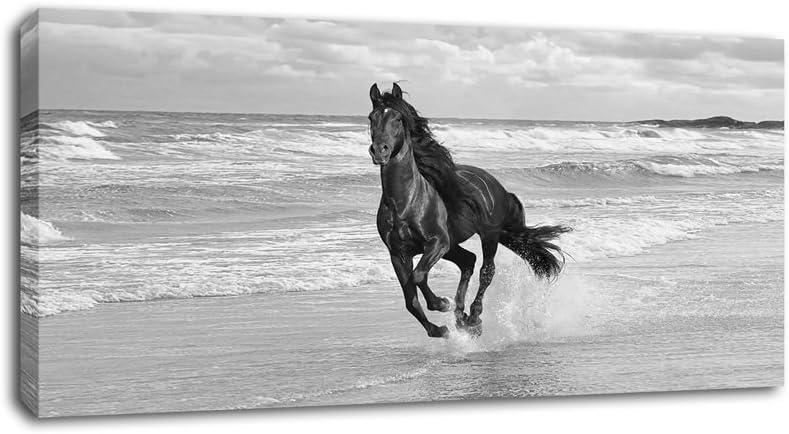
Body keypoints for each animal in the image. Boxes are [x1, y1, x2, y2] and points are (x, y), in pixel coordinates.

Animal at [368, 82, 571, 338]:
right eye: (371, 117)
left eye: (397, 118)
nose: (379, 151)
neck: (405, 203)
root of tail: (496, 185)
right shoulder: (398, 253)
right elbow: (410, 300)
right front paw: (439, 329)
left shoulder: (437, 242)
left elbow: (419, 275)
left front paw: (442, 303)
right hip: (454, 245)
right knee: (468, 262)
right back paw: (461, 317)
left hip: (488, 235)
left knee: (486, 270)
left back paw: (473, 317)